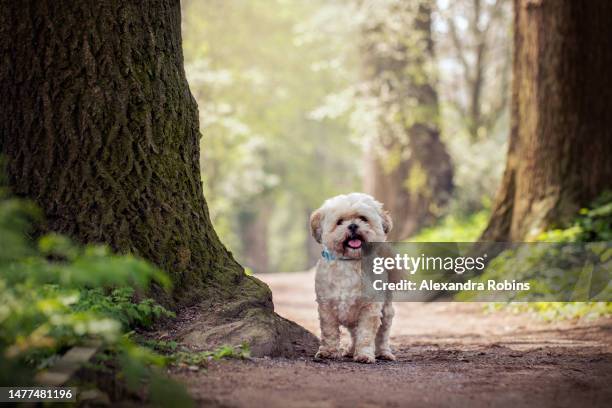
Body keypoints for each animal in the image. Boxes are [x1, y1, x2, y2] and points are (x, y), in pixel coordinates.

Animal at [308, 193, 394, 362]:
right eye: (340, 221)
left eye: (363, 218)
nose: (353, 226)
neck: (349, 261)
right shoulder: (327, 307)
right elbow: (329, 332)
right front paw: (328, 351)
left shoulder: (369, 309)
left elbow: (366, 335)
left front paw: (364, 355)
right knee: (354, 333)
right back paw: (351, 350)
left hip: (386, 311)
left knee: (382, 335)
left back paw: (384, 352)